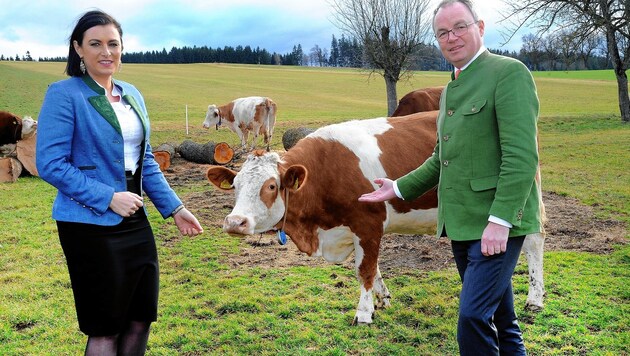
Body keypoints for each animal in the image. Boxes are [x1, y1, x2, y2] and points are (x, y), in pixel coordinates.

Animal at [209, 112, 548, 326]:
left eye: (271, 186)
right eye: (235, 185)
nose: (234, 222)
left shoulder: (367, 223)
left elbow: (365, 270)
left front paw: (364, 313)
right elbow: (372, 267)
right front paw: (382, 298)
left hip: (526, 196)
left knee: (534, 242)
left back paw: (535, 297)